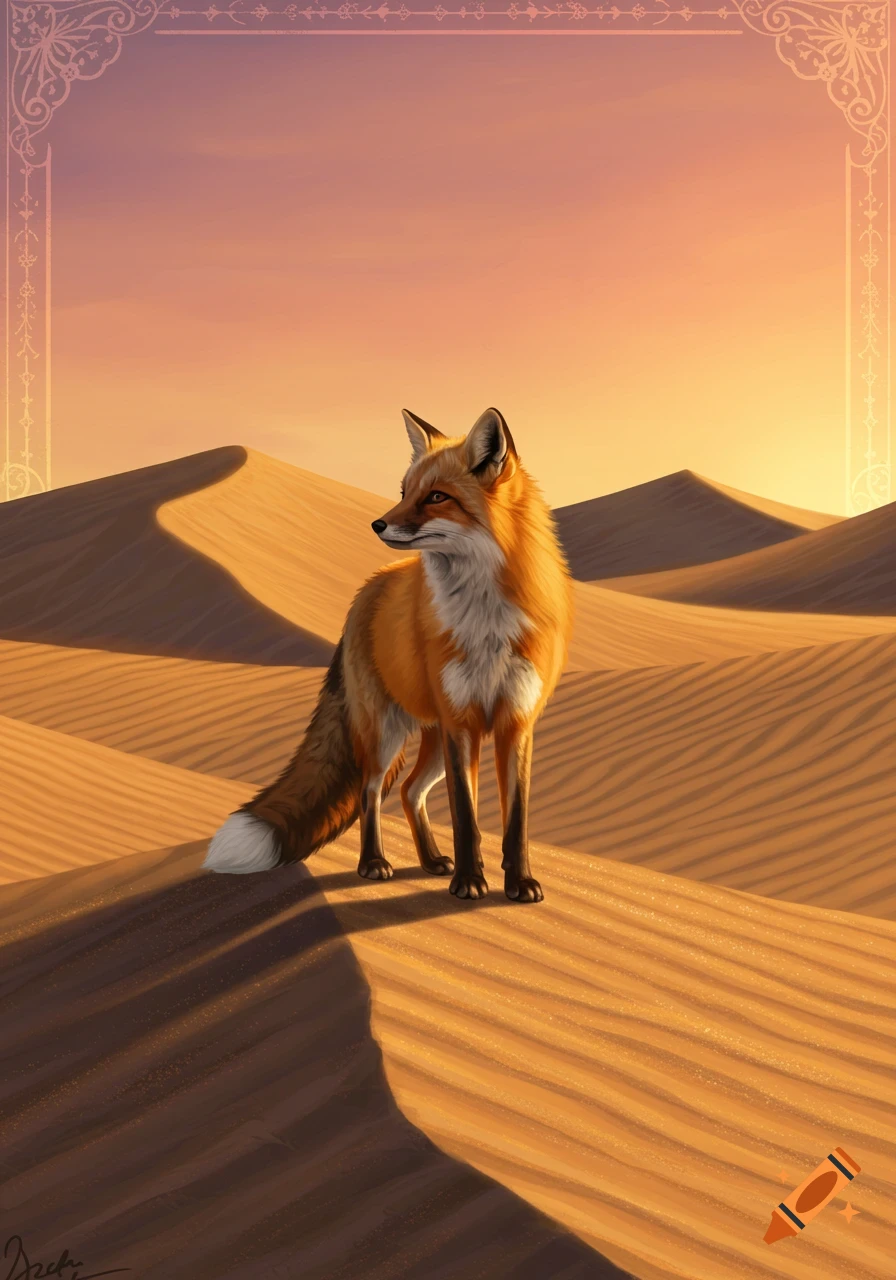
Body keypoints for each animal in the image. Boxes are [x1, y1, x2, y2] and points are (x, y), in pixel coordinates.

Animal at [203, 407, 574, 901]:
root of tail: (367, 587)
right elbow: (466, 817)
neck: (485, 620)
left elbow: (515, 822)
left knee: (410, 791)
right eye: (404, 492)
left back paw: (431, 860)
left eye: (436, 497)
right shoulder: (462, 723)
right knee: (371, 793)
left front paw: (520, 883)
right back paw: (374, 863)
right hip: (385, 734)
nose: (377, 524)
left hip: (432, 738)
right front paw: (469, 882)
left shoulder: (515, 721)